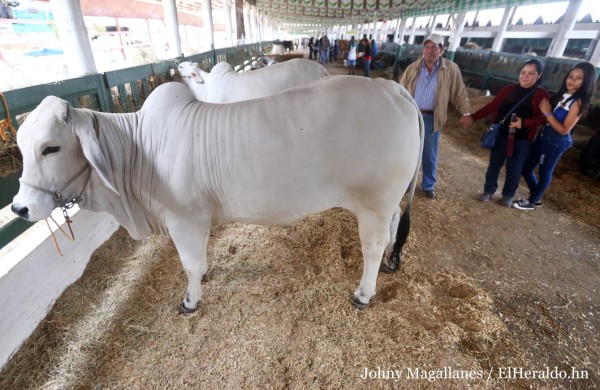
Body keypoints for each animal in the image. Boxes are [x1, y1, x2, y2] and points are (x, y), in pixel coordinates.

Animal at [10, 77, 422, 314]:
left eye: (50, 148)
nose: (19, 207)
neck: (138, 148)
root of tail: (395, 89)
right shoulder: (198, 217)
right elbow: (201, 256)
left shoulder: (183, 218)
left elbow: (190, 264)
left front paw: (190, 300)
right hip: (387, 203)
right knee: (393, 229)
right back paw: (389, 264)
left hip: (373, 202)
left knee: (372, 247)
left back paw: (363, 293)